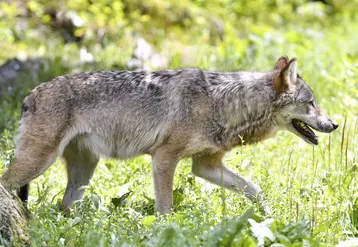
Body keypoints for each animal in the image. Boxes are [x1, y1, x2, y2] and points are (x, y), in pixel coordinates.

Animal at [0, 56, 338, 214]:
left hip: (83, 170)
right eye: (311, 103)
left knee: (65, 206)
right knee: (7, 184)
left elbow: (253, 188)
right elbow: (165, 207)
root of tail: (30, 94)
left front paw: (268, 215)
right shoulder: (164, 158)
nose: (334, 124)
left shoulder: (206, 166)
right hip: (39, 161)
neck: (226, 103)